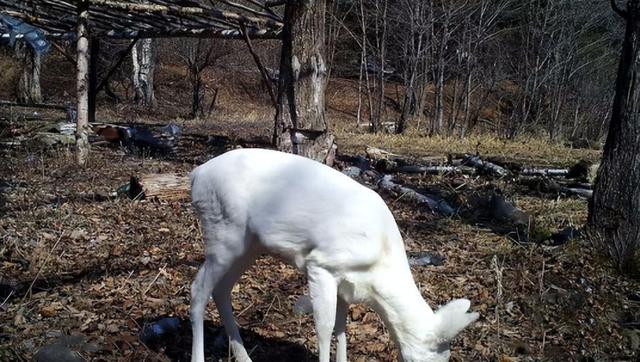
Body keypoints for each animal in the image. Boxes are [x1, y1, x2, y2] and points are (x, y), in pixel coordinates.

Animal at [188, 148, 478, 360]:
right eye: (439, 357)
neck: (378, 273)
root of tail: (196, 174)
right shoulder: (321, 264)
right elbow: (325, 329)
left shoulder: (346, 284)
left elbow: (341, 329)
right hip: (223, 230)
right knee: (198, 289)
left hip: (249, 244)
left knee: (221, 289)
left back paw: (244, 357)